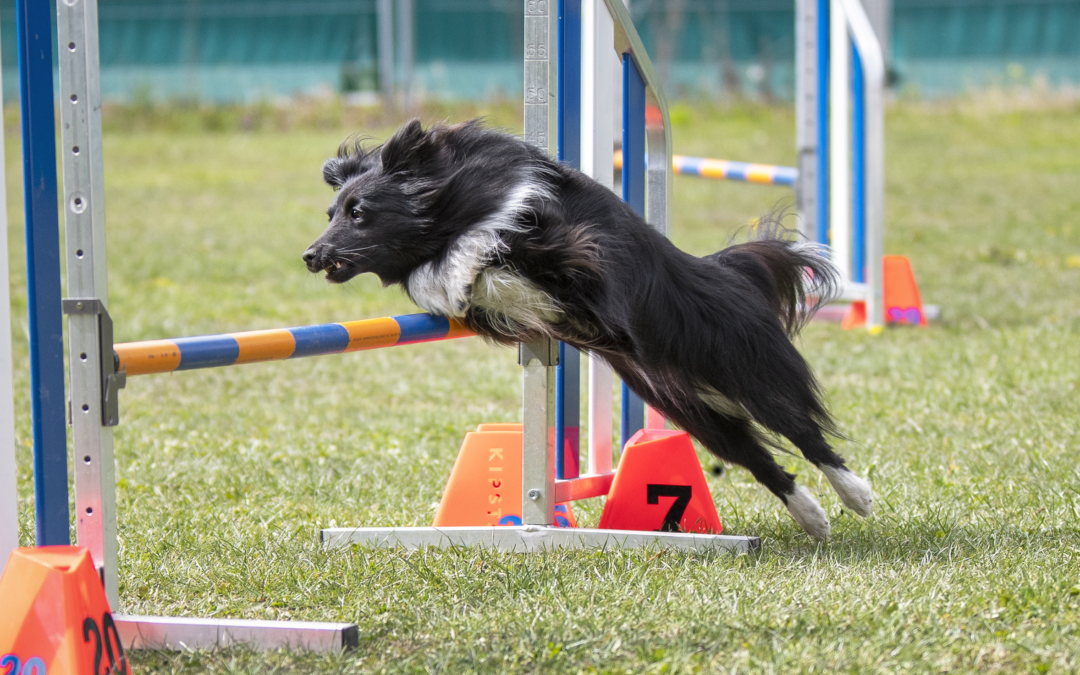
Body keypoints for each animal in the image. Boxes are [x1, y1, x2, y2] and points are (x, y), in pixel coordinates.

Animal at [300, 117, 872, 537]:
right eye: (331, 212)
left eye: (359, 212)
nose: (310, 255)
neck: (453, 202)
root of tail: (723, 271)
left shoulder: (570, 250)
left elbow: (486, 238)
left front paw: (463, 260)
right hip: (688, 406)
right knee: (758, 457)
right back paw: (813, 517)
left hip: (739, 368)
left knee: (803, 430)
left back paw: (856, 494)